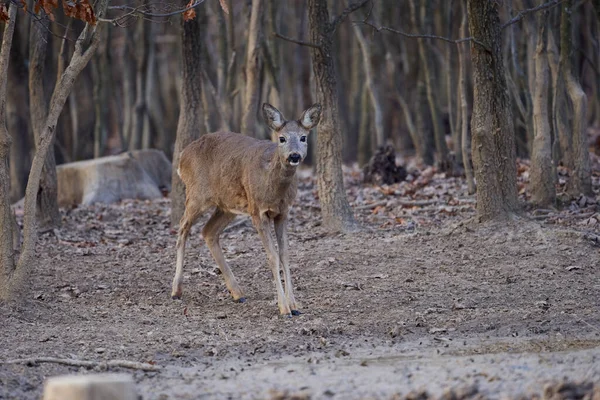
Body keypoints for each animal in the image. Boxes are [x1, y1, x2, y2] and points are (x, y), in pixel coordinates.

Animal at [171, 104, 322, 318]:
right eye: (282, 138)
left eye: (303, 137)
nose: (294, 156)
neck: (273, 189)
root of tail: (183, 156)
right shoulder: (257, 211)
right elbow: (272, 256)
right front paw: (284, 308)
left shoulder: (283, 212)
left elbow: (284, 254)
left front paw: (295, 305)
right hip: (196, 195)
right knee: (183, 227)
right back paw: (176, 290)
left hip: (227, 205)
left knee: (208, 231)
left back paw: (238, 293)